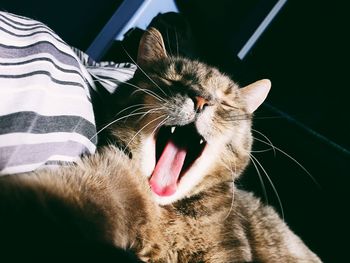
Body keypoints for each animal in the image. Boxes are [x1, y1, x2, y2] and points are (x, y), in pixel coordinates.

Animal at [0, 27, 322, 262]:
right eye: (173, 79)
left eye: (226, 102)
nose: (201, 99)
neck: (169, 212)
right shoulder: (99, 183)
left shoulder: (229, 250)